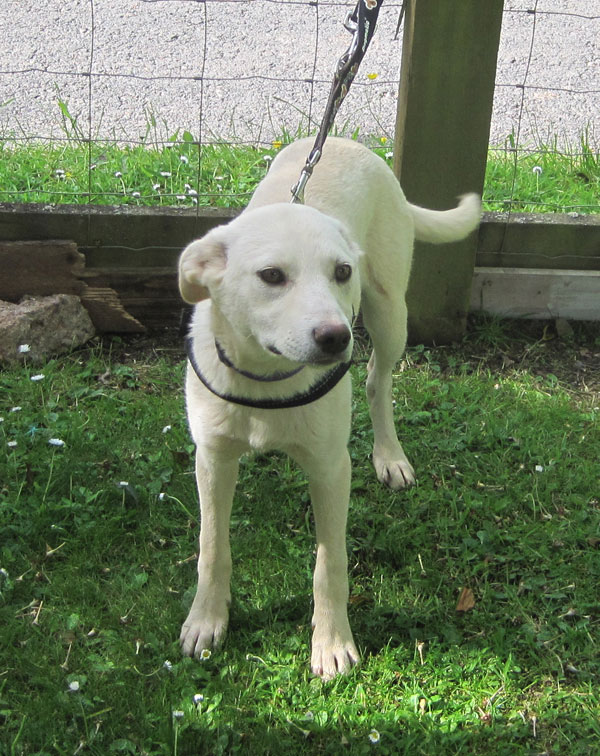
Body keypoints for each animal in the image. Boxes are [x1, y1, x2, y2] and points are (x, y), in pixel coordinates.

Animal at [176, 136, 480, 680]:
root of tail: (347, 142)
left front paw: (332, 642)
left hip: (390, 313)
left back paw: (390, 456)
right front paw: (206, 619)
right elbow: (212, 547)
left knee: (378, 382)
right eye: (271, 276)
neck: (268, 379)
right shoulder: (212, 459)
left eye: (341, 272)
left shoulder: (330, 468)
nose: (336, 337)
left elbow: (330, 563)